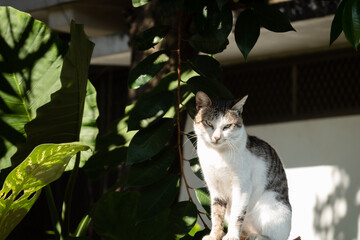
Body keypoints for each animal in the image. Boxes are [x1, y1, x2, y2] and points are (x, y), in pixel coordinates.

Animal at [193, 91, 292, 240]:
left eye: (227, 126)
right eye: (208, 123)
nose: (216, 138)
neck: (218, 154)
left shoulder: (242, 186)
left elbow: (237, 215)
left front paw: (231, 236)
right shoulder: (215, 188)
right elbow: (216, 215)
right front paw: (214, 235)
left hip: (273, 206)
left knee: (275, 237)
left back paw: (257, 237)